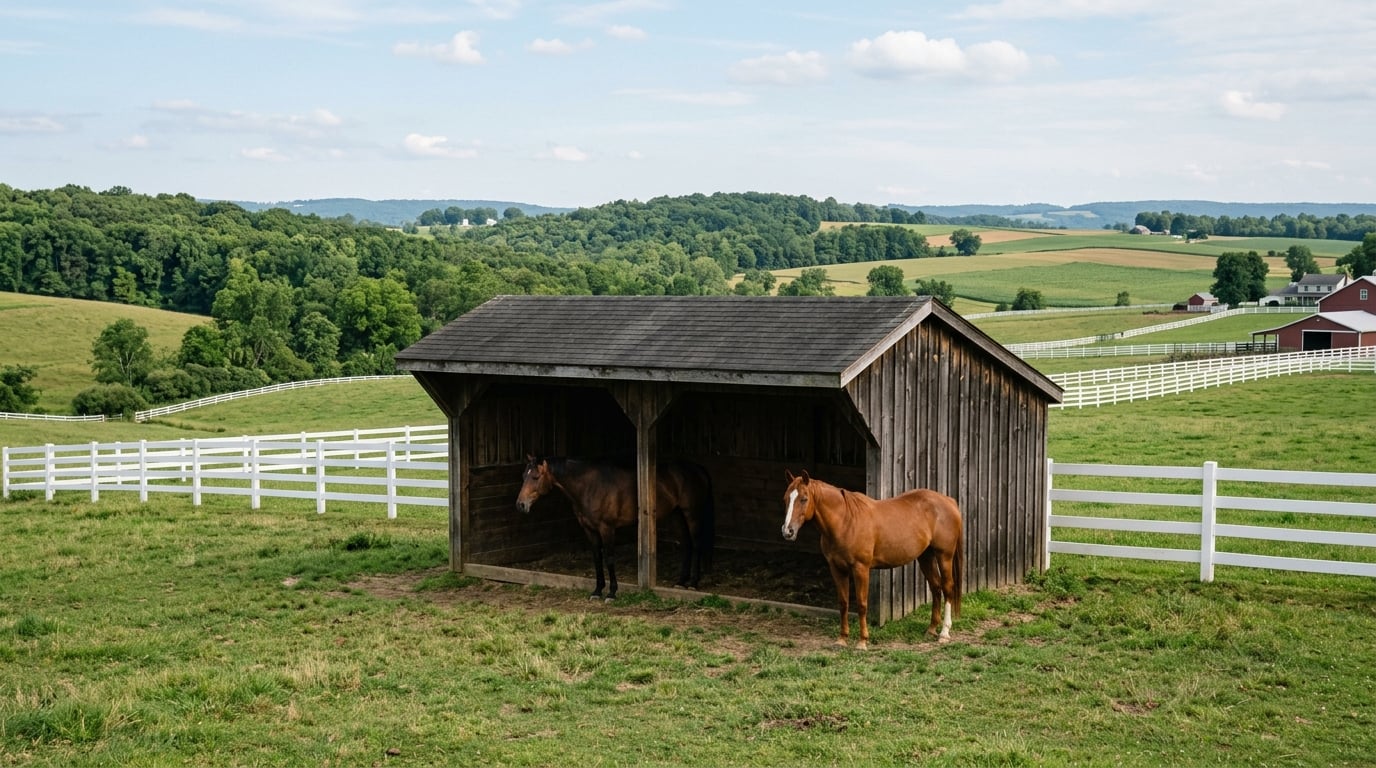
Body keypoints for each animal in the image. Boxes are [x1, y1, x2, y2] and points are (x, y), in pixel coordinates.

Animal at [516, 455, 715, 601]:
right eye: (524, 476)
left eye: (535, 477)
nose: (520, 505)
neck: (590, 487)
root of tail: (698, 468)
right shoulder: (589, 529)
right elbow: (597, 558)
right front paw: (597, 591)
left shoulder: (607, 528)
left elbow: (609, 558)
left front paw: (611, 593)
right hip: (677, 515)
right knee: (687, 544)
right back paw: (681, 581)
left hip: (692, 514)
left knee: (696, 543)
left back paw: (693, 583)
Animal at [780, 470, 963, 650]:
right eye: (786, 498)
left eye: (804, 499)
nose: (787, 531)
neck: (845, 521)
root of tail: (949, 501)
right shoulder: (837, 569)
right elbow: (843, 603)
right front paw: (842, 639)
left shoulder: (861, 568)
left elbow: (862, 604)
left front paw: (862, 641)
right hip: (926, 556)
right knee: (936, 587)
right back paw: (931, 629)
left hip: (944, 556)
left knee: (947, 588)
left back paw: (944, 633)